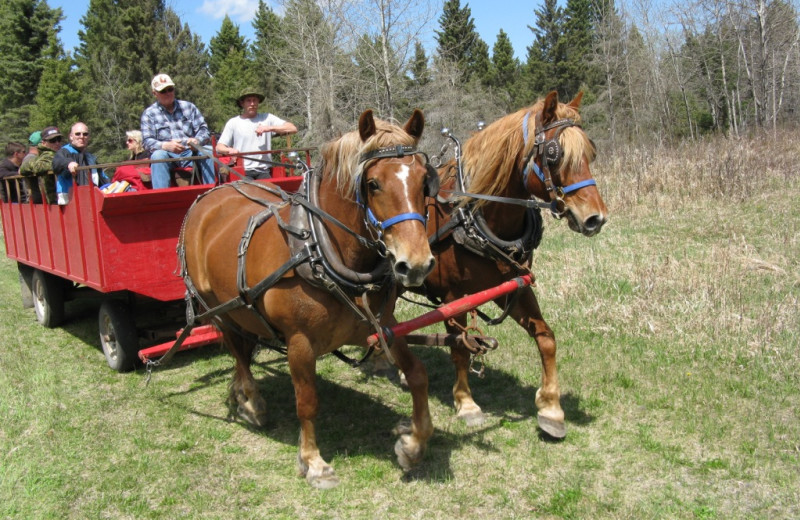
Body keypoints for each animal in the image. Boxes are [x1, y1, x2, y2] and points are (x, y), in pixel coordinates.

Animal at [182, 109, 438, 488]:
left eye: (424, 182)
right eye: (373, 184)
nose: (417, 264)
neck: (319, 247)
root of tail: (213, 194)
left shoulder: (382, 325)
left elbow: (418, 374)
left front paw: (413, 444)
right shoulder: (299, 342)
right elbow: (307, 401)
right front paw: (313, 462)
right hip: (218, 308)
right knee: (238, 353)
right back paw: (251, 401)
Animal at [418, 91, 608, 436]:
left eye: (591, 150)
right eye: (554, 154)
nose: (595, 218)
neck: (473, 212)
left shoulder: (514, 286)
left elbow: (546, 338)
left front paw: (551, 407)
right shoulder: (452, 298)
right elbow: (460, 348)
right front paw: (466, 403)